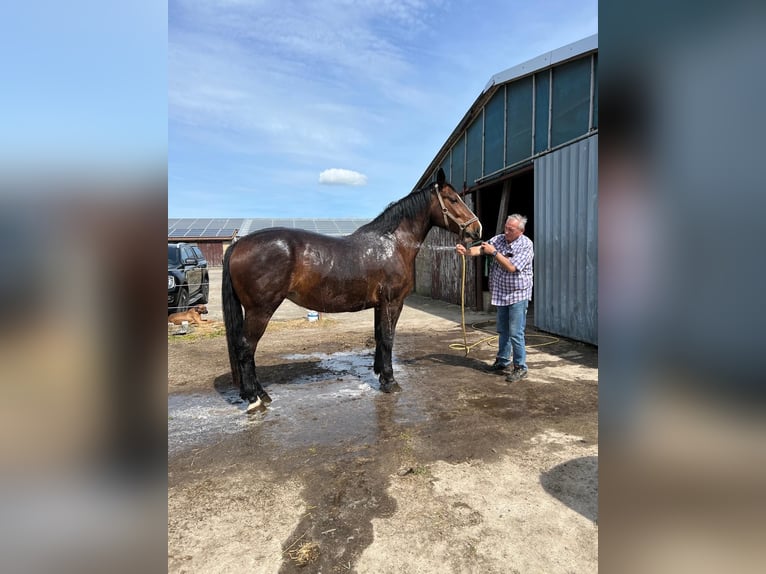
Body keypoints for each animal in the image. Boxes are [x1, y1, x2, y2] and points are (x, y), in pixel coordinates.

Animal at [222, 169, 484, 412]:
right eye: (453, 199)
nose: (477, 229)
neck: (393, 244)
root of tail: (238, 244)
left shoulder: (380, 305)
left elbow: (379, 336)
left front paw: (380, 374)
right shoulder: (392, 302)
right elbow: (388, 338)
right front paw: (390, 381)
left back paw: (260, 394)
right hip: (260, 310)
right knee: (246, 348)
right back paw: (255, 399)